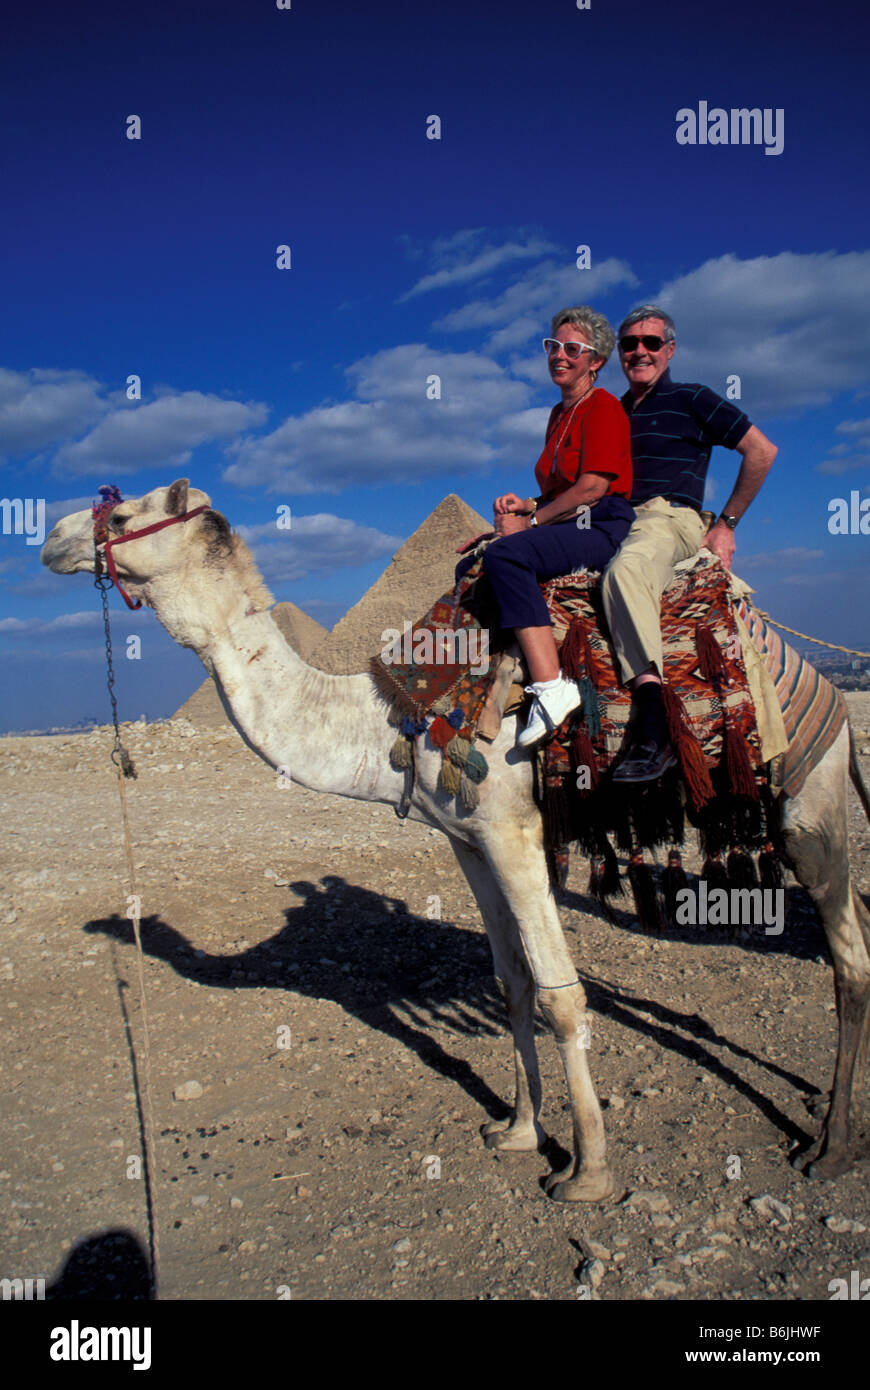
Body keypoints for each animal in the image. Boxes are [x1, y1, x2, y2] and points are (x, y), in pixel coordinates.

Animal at [42, 483, 867, 1200]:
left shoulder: (512, 830)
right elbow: (513, 981)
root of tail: (816, 671)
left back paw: (830, 1145)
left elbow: (562, 997)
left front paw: (588, 1173)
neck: (386, 718)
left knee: (847, 952)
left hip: (807, 798)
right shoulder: (467, 842)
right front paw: (520, 1130)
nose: (52, 537)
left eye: (124, 518)